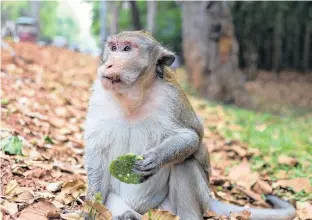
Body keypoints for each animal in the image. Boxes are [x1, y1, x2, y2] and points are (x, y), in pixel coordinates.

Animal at [84, 31, 296, 220]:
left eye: (126, 49)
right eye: (112, 48)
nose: (109, 64)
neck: (133, 99)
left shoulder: (172, 98)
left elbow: (192, 136)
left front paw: (156, 158)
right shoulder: (100, 98)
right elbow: (97, 152)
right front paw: (90, 211)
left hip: (175, 205)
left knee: (185, 162)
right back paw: (127, 214)